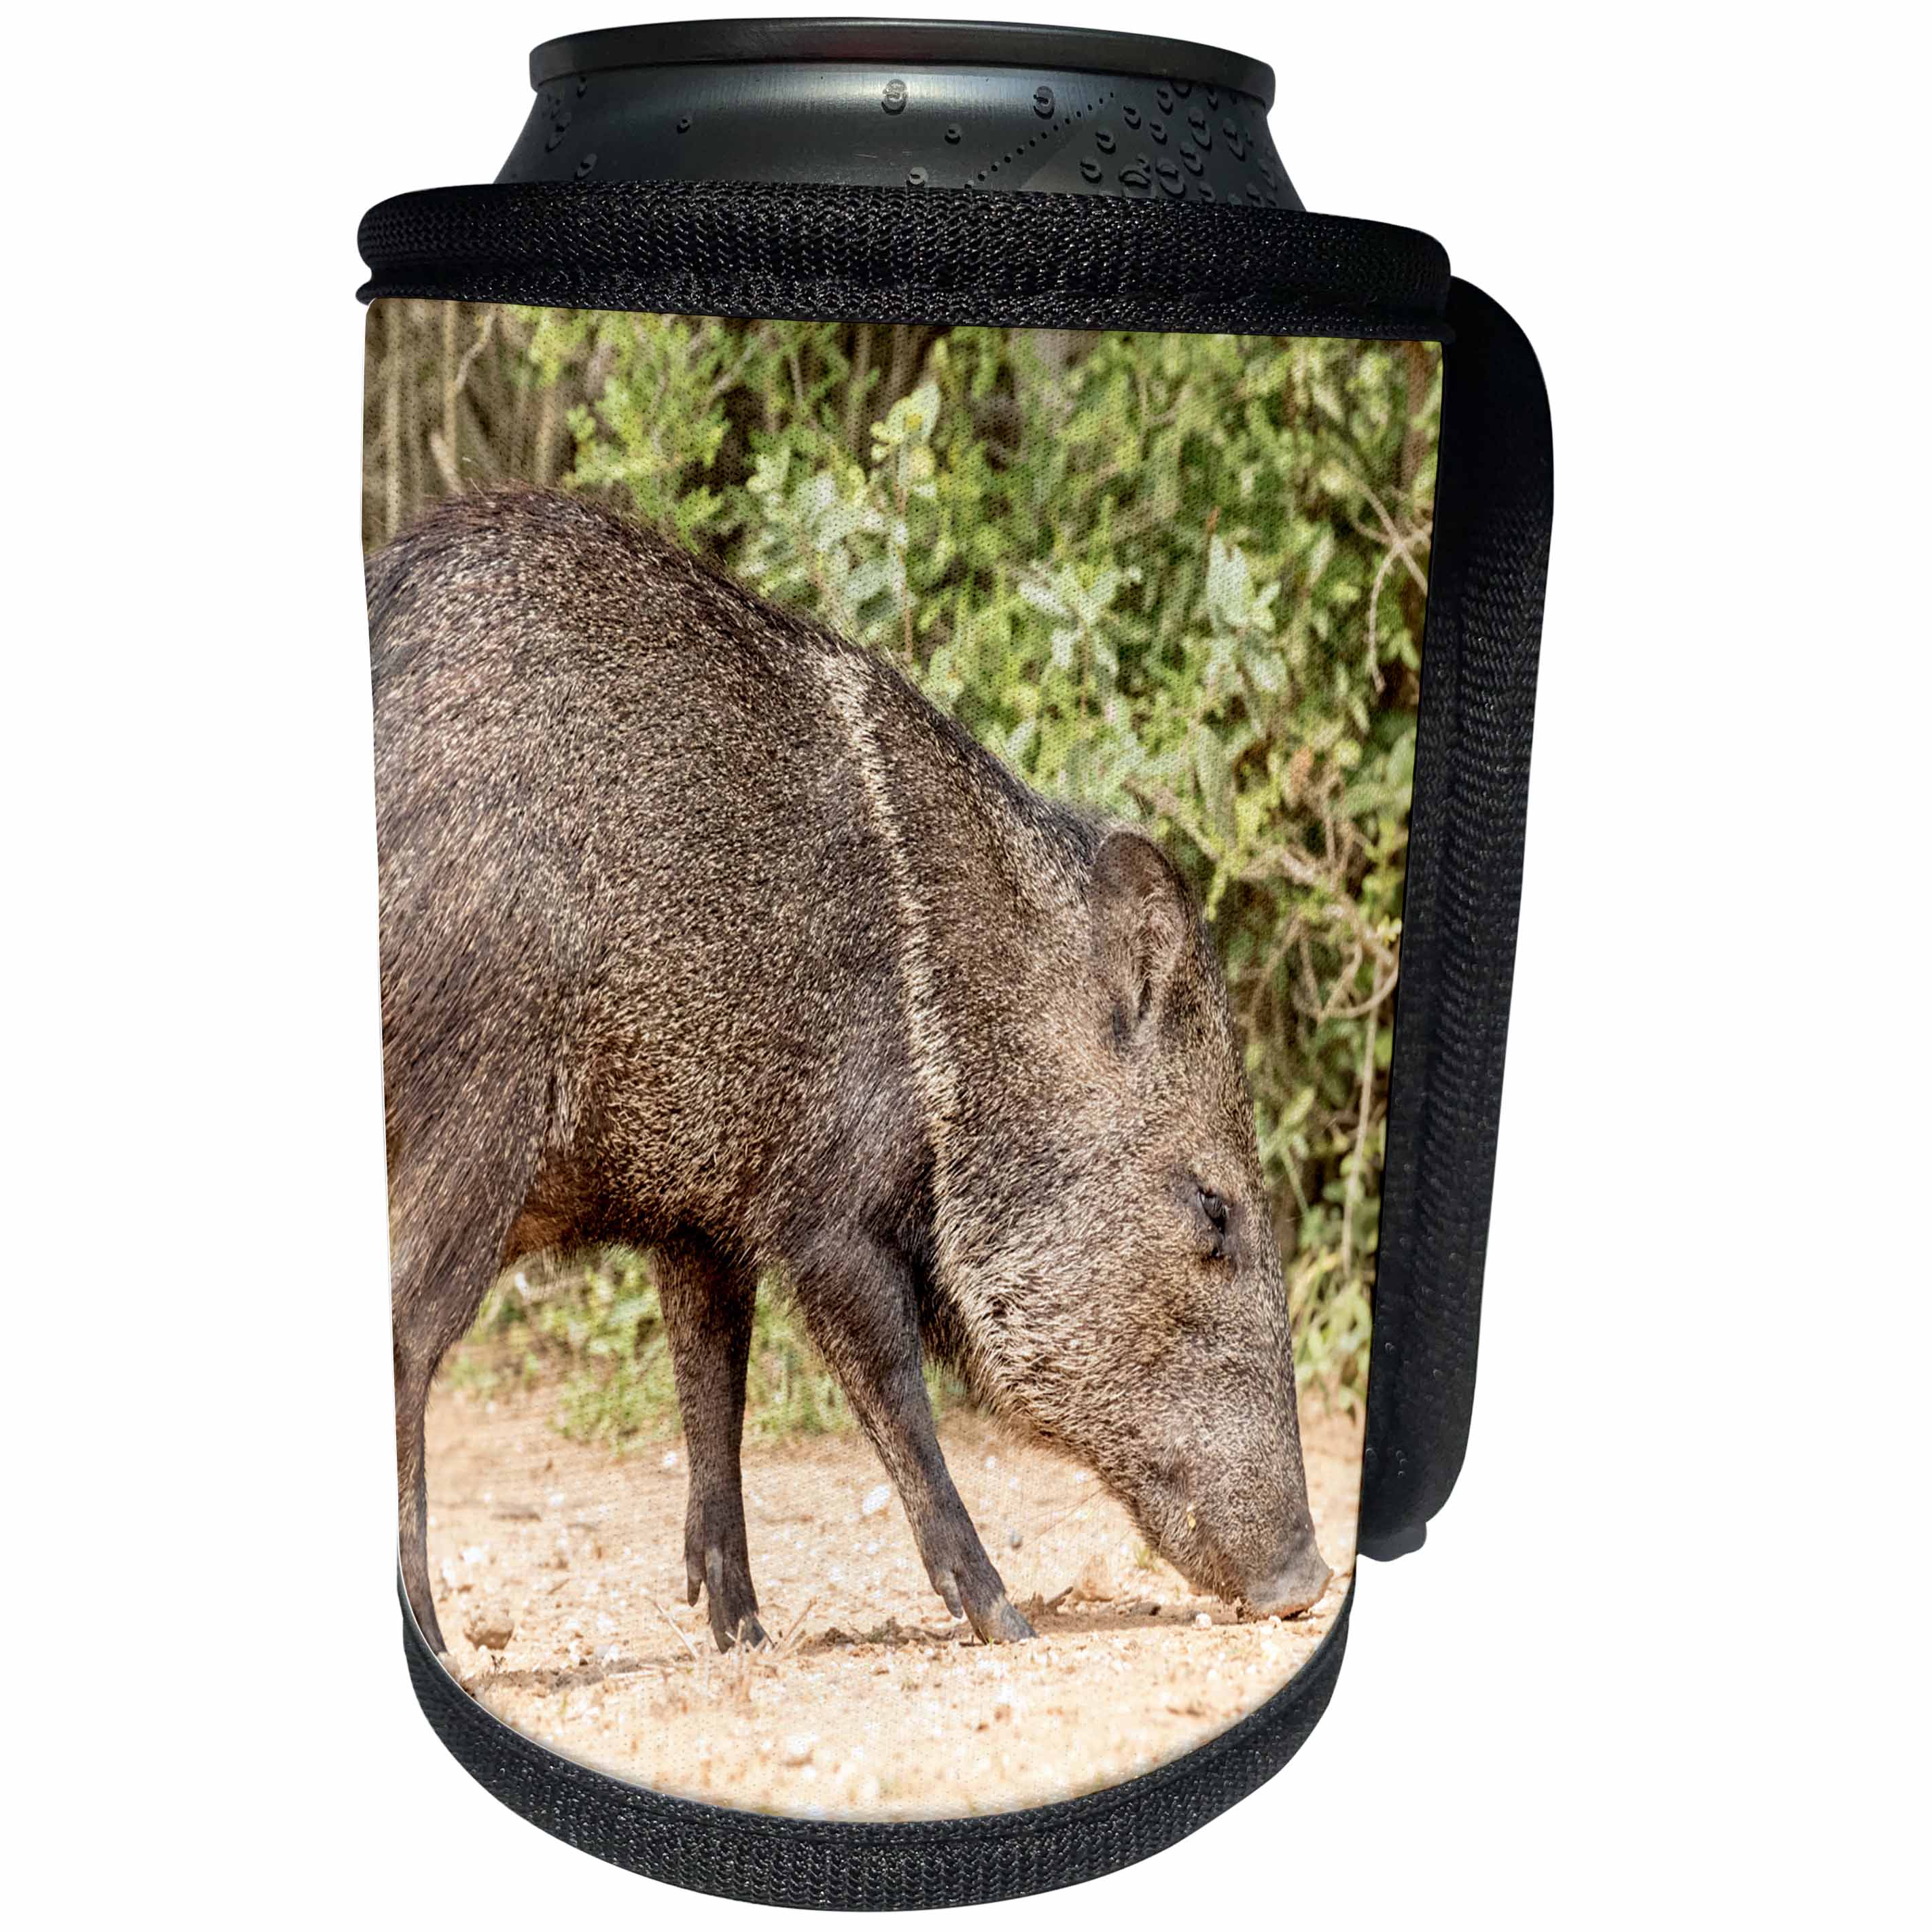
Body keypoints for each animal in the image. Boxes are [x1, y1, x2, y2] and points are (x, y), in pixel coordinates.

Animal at [369, 488, 1331, 1656]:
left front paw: (742, 1633)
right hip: (482, 1107)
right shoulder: (825, 1213)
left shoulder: (706, 1220)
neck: (954, 1019)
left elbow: (711, 1401)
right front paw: (1002, 1617)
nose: (1304, 1579)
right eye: (1211, 1207)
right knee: (407, 1334)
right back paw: (428, 1629)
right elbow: (896, 1406)